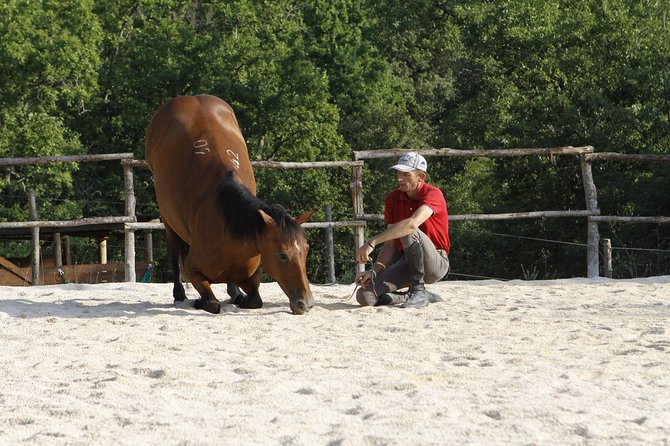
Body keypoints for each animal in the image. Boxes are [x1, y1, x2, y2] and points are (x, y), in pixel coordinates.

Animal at [147, 96, 316, 316]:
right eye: (282, 255)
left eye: (306, 250)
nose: (307, 303)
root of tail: (190, 98)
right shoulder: (194, 271)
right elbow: (212, 302)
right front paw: (199, 301)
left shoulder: (251, 277)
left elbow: (255, 300)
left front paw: (239, 296)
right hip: (169, 222)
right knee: (174, 253)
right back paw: (179, 294)